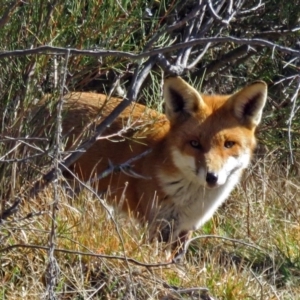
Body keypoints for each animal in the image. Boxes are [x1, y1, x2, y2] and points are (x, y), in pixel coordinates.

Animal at [56, 76, 268, 256]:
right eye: (194, 143)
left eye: (229, 144)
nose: (212, 177)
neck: (191, 199)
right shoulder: (156, 224)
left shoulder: (185, 228)